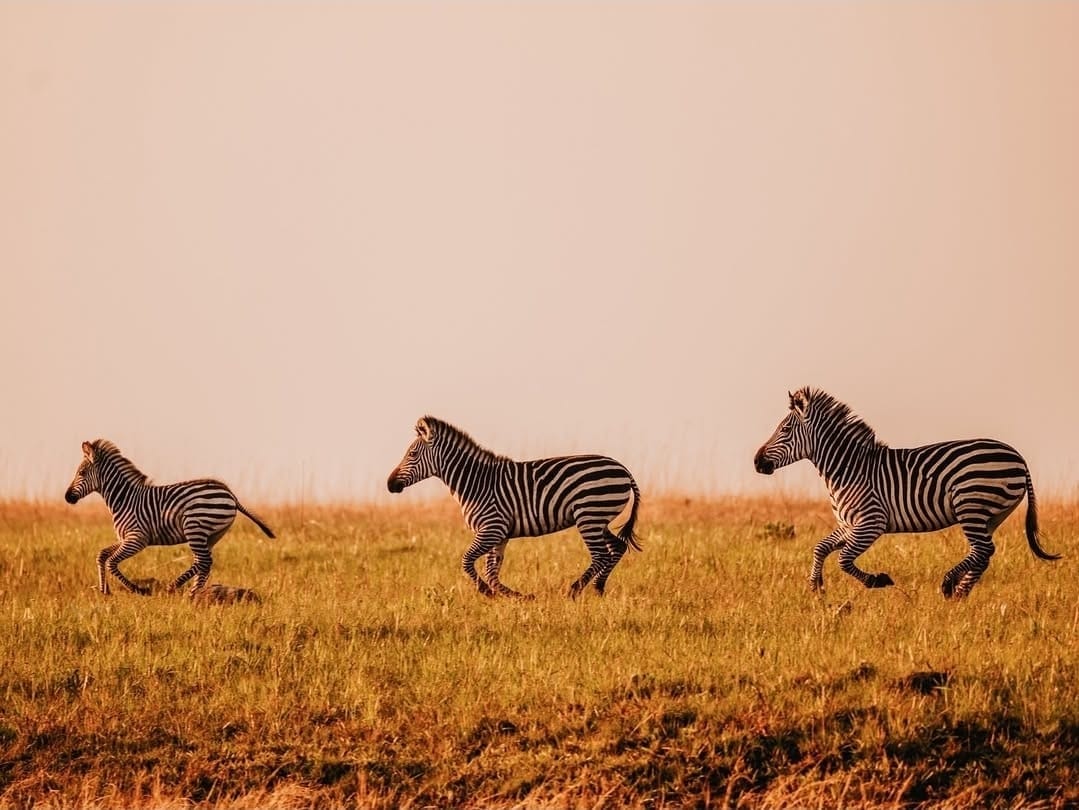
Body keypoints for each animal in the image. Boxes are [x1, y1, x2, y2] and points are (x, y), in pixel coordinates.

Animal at [64, 440, 275, 595]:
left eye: (81, 473)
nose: (67, 497)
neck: (125, 499)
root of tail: (230, 493)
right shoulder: (125, 538)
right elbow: (102, 555)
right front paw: (104, 590)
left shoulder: (137, 539)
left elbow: (111, 563)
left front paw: (139, 589)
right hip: (213, 534)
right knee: (202, 562)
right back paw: (190, 591)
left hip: (195, 527)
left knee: (204, 561)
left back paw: (184, 591)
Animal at [386, 417, 641, 599]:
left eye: (412, 454)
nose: (390, 485)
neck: (475, 483)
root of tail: (623, 468)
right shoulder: (499, 534)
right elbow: (491, 572)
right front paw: (515, 597)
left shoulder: (492, 529)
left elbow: (467, 561)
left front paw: (487, 592)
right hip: (598, 519)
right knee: (617, 547)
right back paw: (598, 589)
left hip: (589, 515)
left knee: (600, 554)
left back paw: (573, 590)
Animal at [753, 387, 1060, 598]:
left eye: (785, 429)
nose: (756, 462)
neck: (849, 468)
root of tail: (1017, 456)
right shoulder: (849, 525)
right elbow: (821, 547)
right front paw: (816, 586)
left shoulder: (871, 523)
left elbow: (843, 559)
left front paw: (878, 580)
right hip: (990, 515)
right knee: (983, 553)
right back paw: (960, 594)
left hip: (971, 505)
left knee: (984, 550)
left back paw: (949, 584)